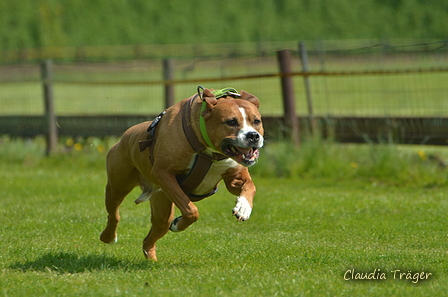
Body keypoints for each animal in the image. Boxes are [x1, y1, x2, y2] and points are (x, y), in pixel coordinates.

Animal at [99, 86, 262, 258]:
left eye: (256, 121)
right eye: (231, 122)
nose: (253, 136)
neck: (210, 152)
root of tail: (125, 136)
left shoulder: (234, 178)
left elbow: (250, 187)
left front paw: (243, 208)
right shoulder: (164, 174)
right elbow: (191, 210)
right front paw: (178, 224)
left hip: (161, 206)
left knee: (151, 236)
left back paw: (151, 259)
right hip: (118, 186)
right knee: (114, 214)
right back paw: (108, 237)